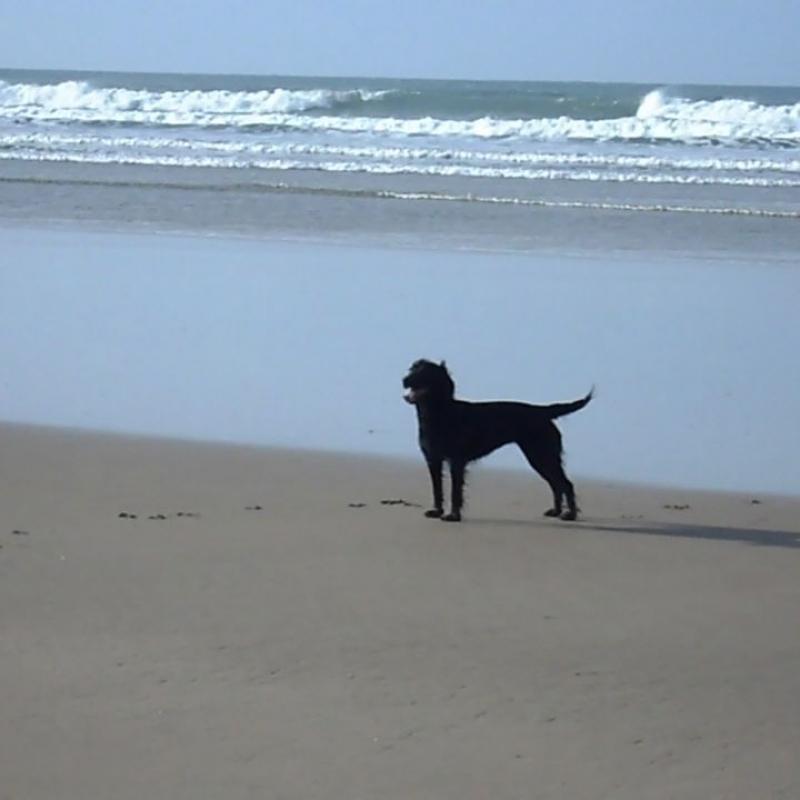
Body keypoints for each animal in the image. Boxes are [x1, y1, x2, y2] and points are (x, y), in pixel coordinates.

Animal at [404, 360, 592, 520]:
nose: (404, 380)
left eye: (425, 372)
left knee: (566, 484)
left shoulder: (456, 461)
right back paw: (556, 511)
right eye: (412, 369)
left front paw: (453, 515)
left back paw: (570, 515)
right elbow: (437, 489)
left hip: (542, 455)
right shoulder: (433, 459)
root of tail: (542, 411)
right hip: (538, 458)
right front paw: (436, 511)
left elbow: (455, 492)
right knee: (556, 484)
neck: (440, 413)